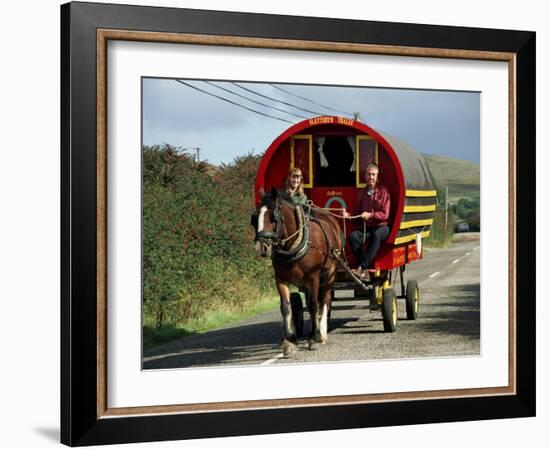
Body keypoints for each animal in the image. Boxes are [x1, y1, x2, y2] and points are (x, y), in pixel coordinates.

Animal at [253, 187, 344, 356]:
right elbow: (285, 306)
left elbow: (313, 306)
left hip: (330, 275)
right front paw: (289, 341)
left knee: (325, 300)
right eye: (255, 217)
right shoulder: (280, 279)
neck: (293, 246)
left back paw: (322, 333)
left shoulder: (314, 278)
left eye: (273, 217)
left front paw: (313, 338)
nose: (261, 247)